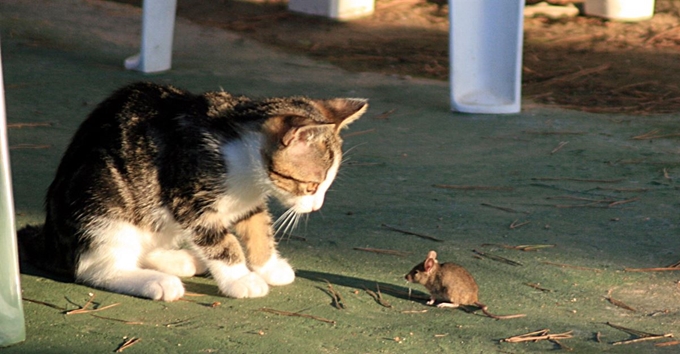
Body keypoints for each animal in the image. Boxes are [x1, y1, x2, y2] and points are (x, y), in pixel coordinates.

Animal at [19, 82, 366, 302]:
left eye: (326, 186)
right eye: (311, 185)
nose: (316, 206)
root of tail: (49, 239)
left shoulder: (248, 201)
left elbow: (257, 228)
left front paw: (268, 266)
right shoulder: (188, 197)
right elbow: (221, 242)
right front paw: (241, 279)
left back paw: (180, 260)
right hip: (103, 204)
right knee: (94, 267)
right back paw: (155, 282)